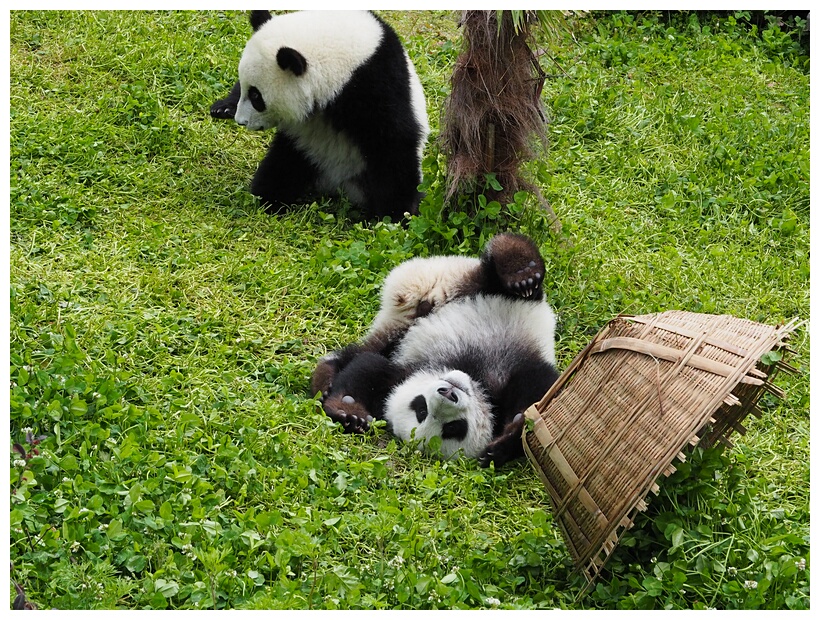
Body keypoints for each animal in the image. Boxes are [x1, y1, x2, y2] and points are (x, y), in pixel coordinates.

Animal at [208, 9, 430, 220]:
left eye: (256, 97)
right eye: (246, 87)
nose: (242, 121)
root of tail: (338, 186)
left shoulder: (377, 83)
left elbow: (392, 145)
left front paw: (394, 215)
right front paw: (223, 107)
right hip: (304, 149)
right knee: (282, 168)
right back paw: (270, 200)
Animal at [310, 235, 560, 468]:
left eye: (454, 428)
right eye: (421, 408)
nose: (448, 392)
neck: (475, 378)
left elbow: (538, 385)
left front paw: (505, 442)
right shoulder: (407, 370)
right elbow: (368, 367)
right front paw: (349, 413)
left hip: (468, 288)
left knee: (498, 270)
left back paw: (523, 271)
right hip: (405, 331)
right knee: (362, 350)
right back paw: (325, 379)